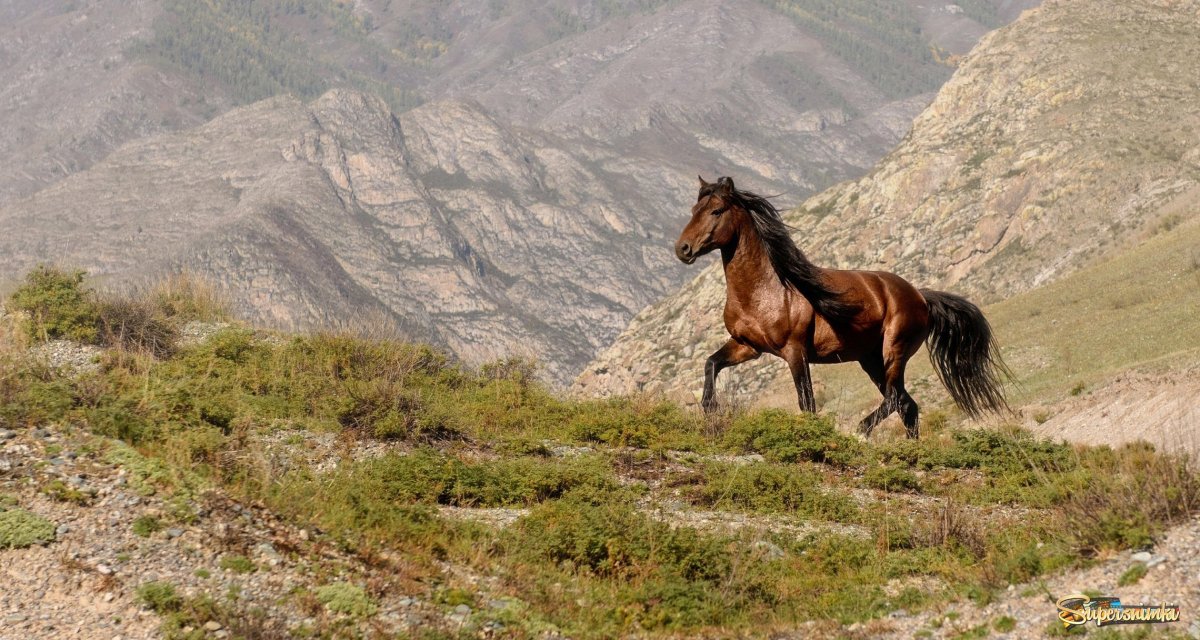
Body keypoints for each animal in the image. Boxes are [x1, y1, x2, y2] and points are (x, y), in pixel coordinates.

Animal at [674, 176, 1009, 438]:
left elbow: (807, 403)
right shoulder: (747, 346)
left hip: (894, 351)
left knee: (894, 399)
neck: (765, 290)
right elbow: (711, 363)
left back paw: (861, 431)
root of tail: (921, 297)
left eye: (716, 210)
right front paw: (710, 409)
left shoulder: (795, 352)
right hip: (870, 359)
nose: (683, 249)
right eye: (693, 210)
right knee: (906, 405)